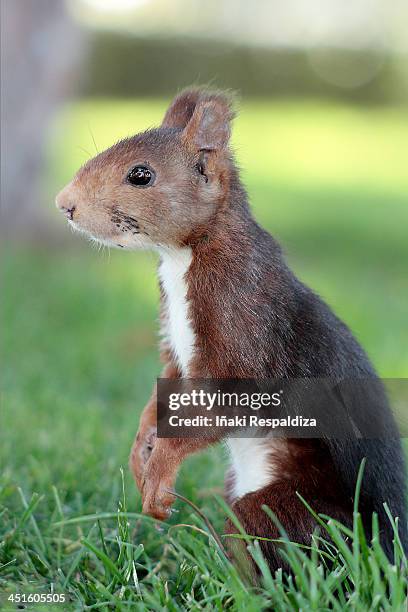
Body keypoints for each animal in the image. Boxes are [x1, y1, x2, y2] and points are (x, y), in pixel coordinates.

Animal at [55, 88, 406, 572]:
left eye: (140, 175)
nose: (64, 204)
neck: (184, 254)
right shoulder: (176, 349)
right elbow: (163, 391)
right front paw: (141, 450)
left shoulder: (243, 324)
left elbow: (223, 405)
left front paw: (159, 476)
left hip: (303, 515)